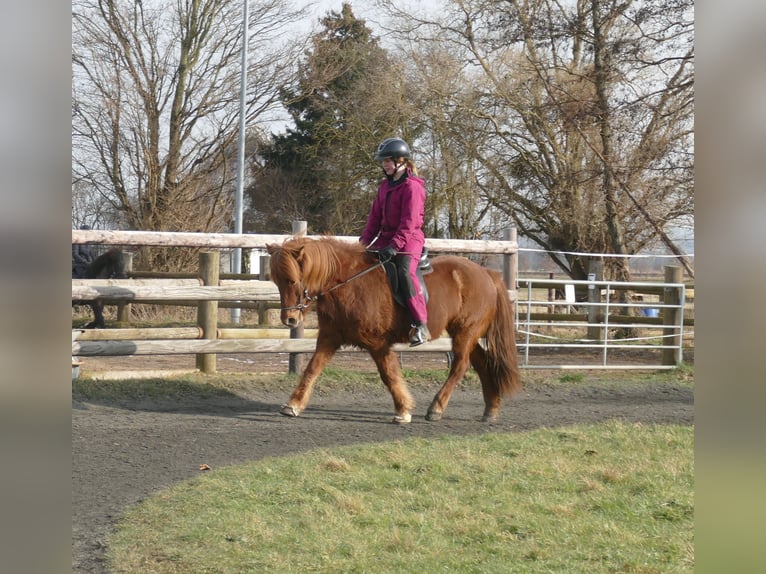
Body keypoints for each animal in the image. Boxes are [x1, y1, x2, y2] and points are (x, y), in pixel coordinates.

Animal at [268, 236, 524, 426]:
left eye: (293, 280)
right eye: (277, 281)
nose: (290, 319)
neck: (348, 284)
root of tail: (486, 273)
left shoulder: (377, 343)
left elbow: (389, 375)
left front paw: (403, 410)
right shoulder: (330, 338)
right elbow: (312, 370)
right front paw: (293, 404)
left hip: (465, 332)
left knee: (460, 366)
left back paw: (436, 408)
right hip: (466, 333)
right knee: (481, 363)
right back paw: (491, 409)